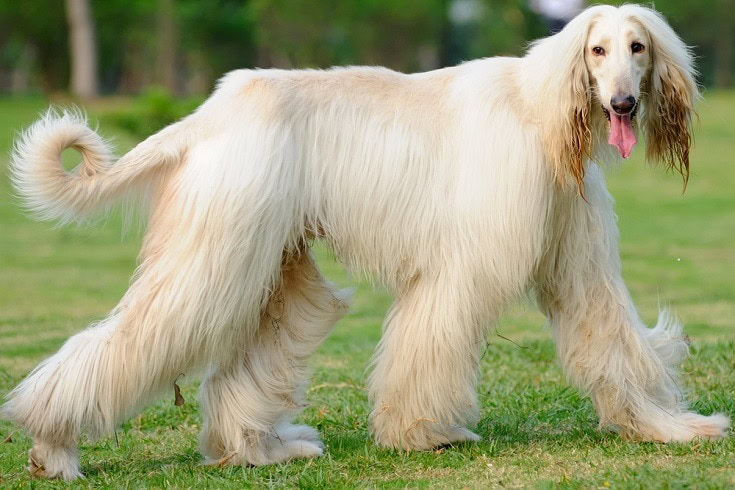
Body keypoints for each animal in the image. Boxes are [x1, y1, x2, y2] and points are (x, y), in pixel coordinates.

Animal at [4, 2, 732, 478]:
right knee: (143, 332)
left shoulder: (574, 253)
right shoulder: (465, 261)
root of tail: (208, 114)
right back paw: (53, 447)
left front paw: (667, 427)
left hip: (273, 256)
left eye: (638, 48)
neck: (544, 112)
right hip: (218, 244)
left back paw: (260, 449)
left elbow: (608, 331)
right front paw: (422, 433)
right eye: (596, 50)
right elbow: (435, 334)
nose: (621, 105)